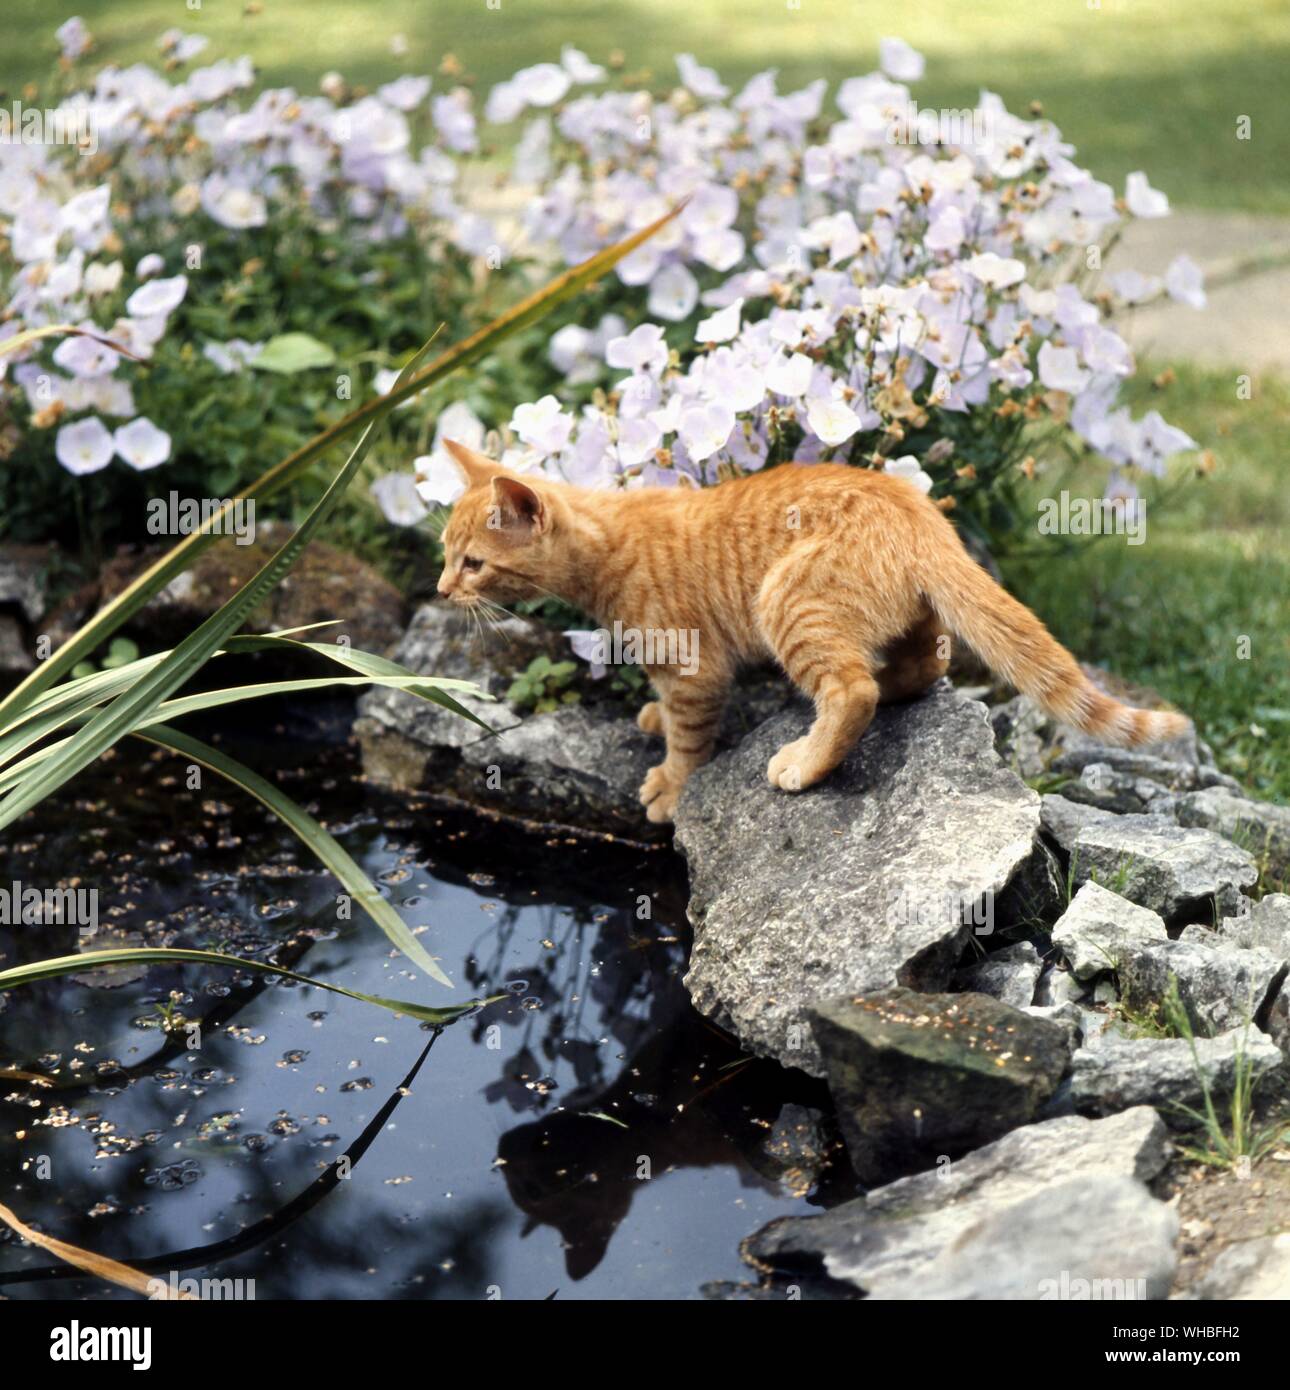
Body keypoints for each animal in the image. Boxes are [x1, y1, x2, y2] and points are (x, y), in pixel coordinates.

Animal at [433, 439, 1189, 817]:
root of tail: (920, 511)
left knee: (853, 692)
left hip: (786, 600)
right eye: (443, 552)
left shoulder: (695, 667)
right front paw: (651, 718)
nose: (440, 589)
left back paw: (807, 760)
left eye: (473, 563)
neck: (612, 544)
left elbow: (690, 737)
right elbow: (670, 716)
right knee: (925, 663)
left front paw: (672, 788)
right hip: (893, 614)